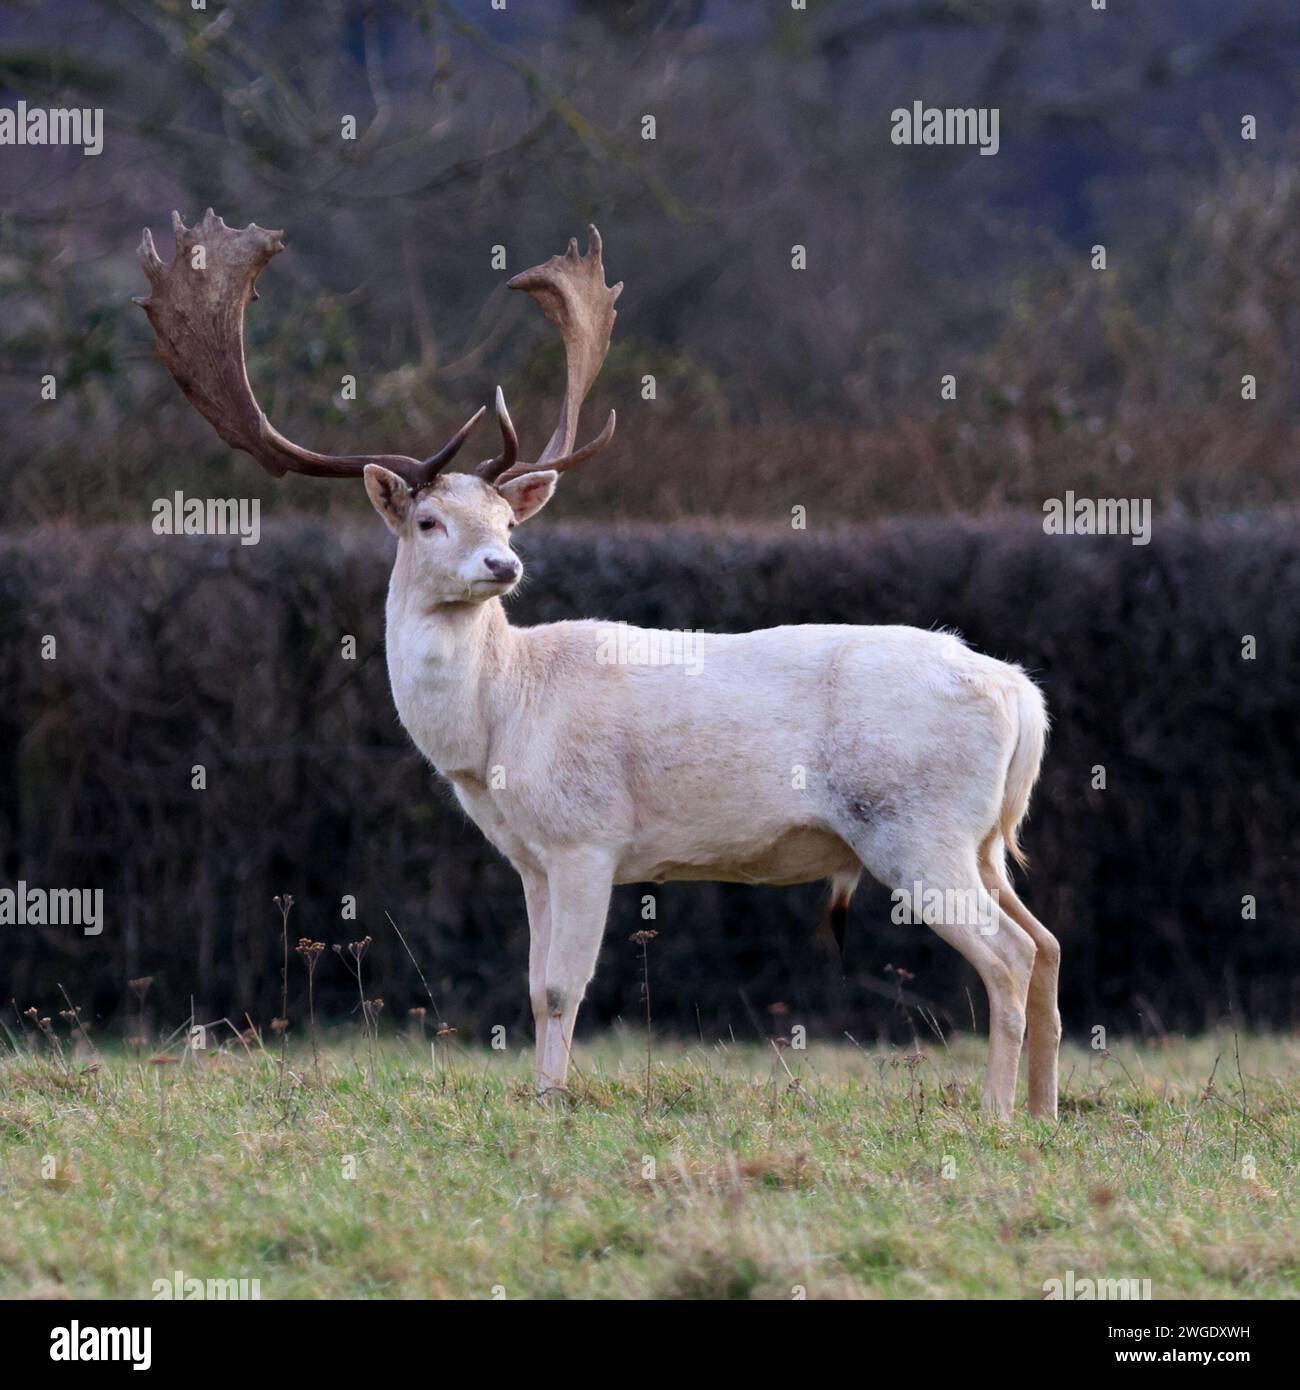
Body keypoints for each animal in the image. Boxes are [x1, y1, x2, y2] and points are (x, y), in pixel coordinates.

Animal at [136, 209, 1059, 1118]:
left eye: (508, 520)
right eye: (430, 521)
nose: (503, 565)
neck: (499, 721)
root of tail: (1022, 696)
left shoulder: (589, 837)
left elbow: (560, 987)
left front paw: (551, 1100)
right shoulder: (531, 856)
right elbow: (533, 982)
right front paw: (540, 1091)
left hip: (915, 824)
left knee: (1009, 954)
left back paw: (996, 1115)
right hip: (981, 836)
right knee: (1045, 941)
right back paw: (1045, 1111)